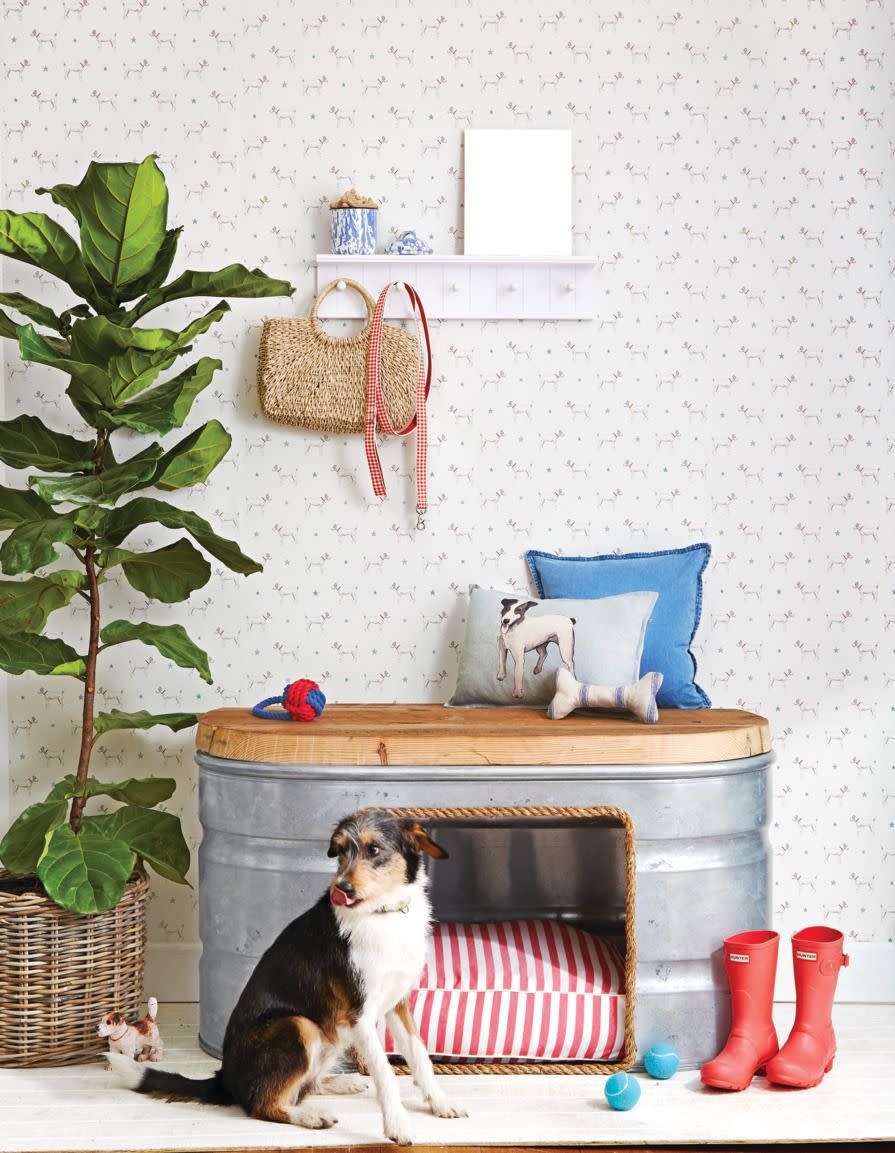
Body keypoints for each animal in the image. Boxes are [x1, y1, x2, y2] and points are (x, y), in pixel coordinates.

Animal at [108, 811, 465, 1143]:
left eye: (374, 849)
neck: (382, 915)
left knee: (301, 1086)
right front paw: (398, 1126)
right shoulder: (359, 1014)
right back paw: (311, 1116)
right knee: (262, 1102)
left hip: (329, 1036)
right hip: (299, 1025)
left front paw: (441, 1103)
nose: (341, 889)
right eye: (340, 851)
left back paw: (342, 1082)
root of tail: (224, 1077)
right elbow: (386, 1073)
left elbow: (420, 1057)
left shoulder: (397, 1004)